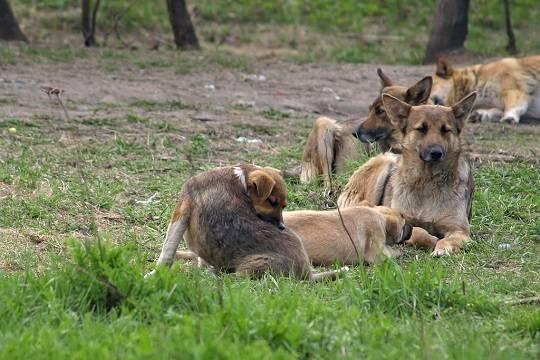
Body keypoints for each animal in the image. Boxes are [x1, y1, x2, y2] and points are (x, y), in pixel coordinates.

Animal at [146, 165, 336, 280]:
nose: (282, 227)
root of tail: (307, 273)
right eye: (273, 202)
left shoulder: (181, 210)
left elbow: (167, 251)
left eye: (283, 206)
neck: (240, 178)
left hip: (250, 268)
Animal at [338, 93, 476, 256]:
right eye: (422, 129)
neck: (427, 180)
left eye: (445, 130)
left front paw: (442, 248)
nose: (436, 153)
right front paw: (429, 239)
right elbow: (417, 231)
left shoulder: (459, 230)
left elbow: (449, 239)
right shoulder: (401, 220)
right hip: (385, 161)